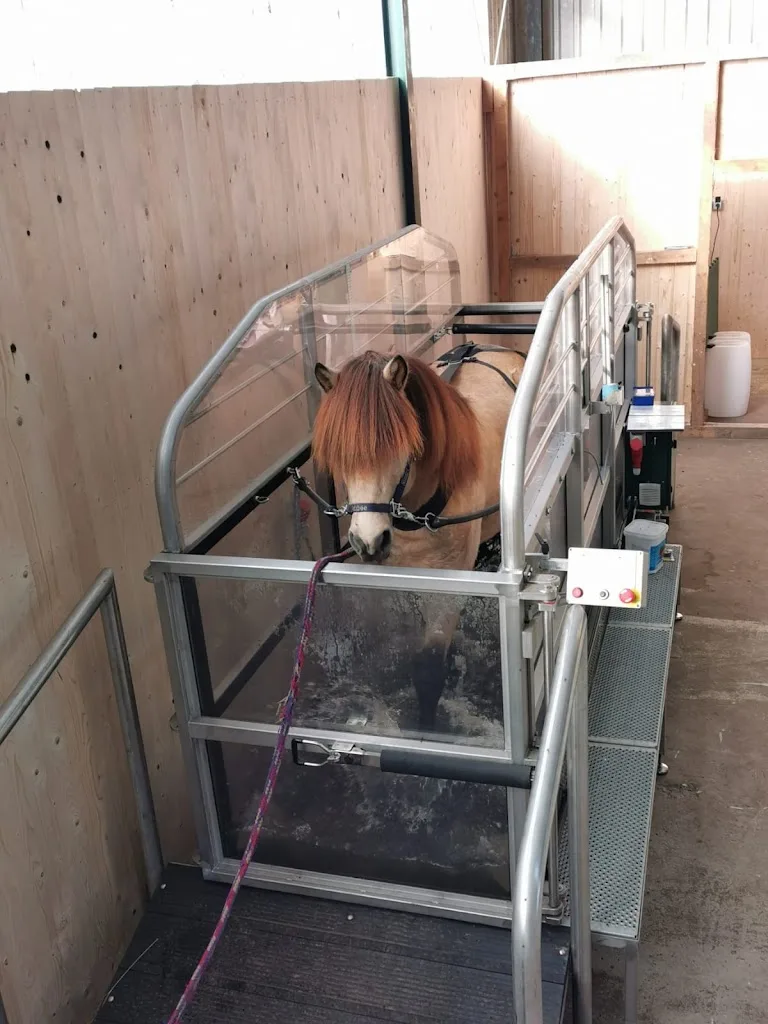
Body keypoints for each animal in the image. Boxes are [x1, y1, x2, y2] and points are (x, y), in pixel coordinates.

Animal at [310, 345, 525, 731]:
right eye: (338, 455)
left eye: (399, 446)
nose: (368, 541)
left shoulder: (447, 586)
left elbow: (427, 668)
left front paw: (426, 729)